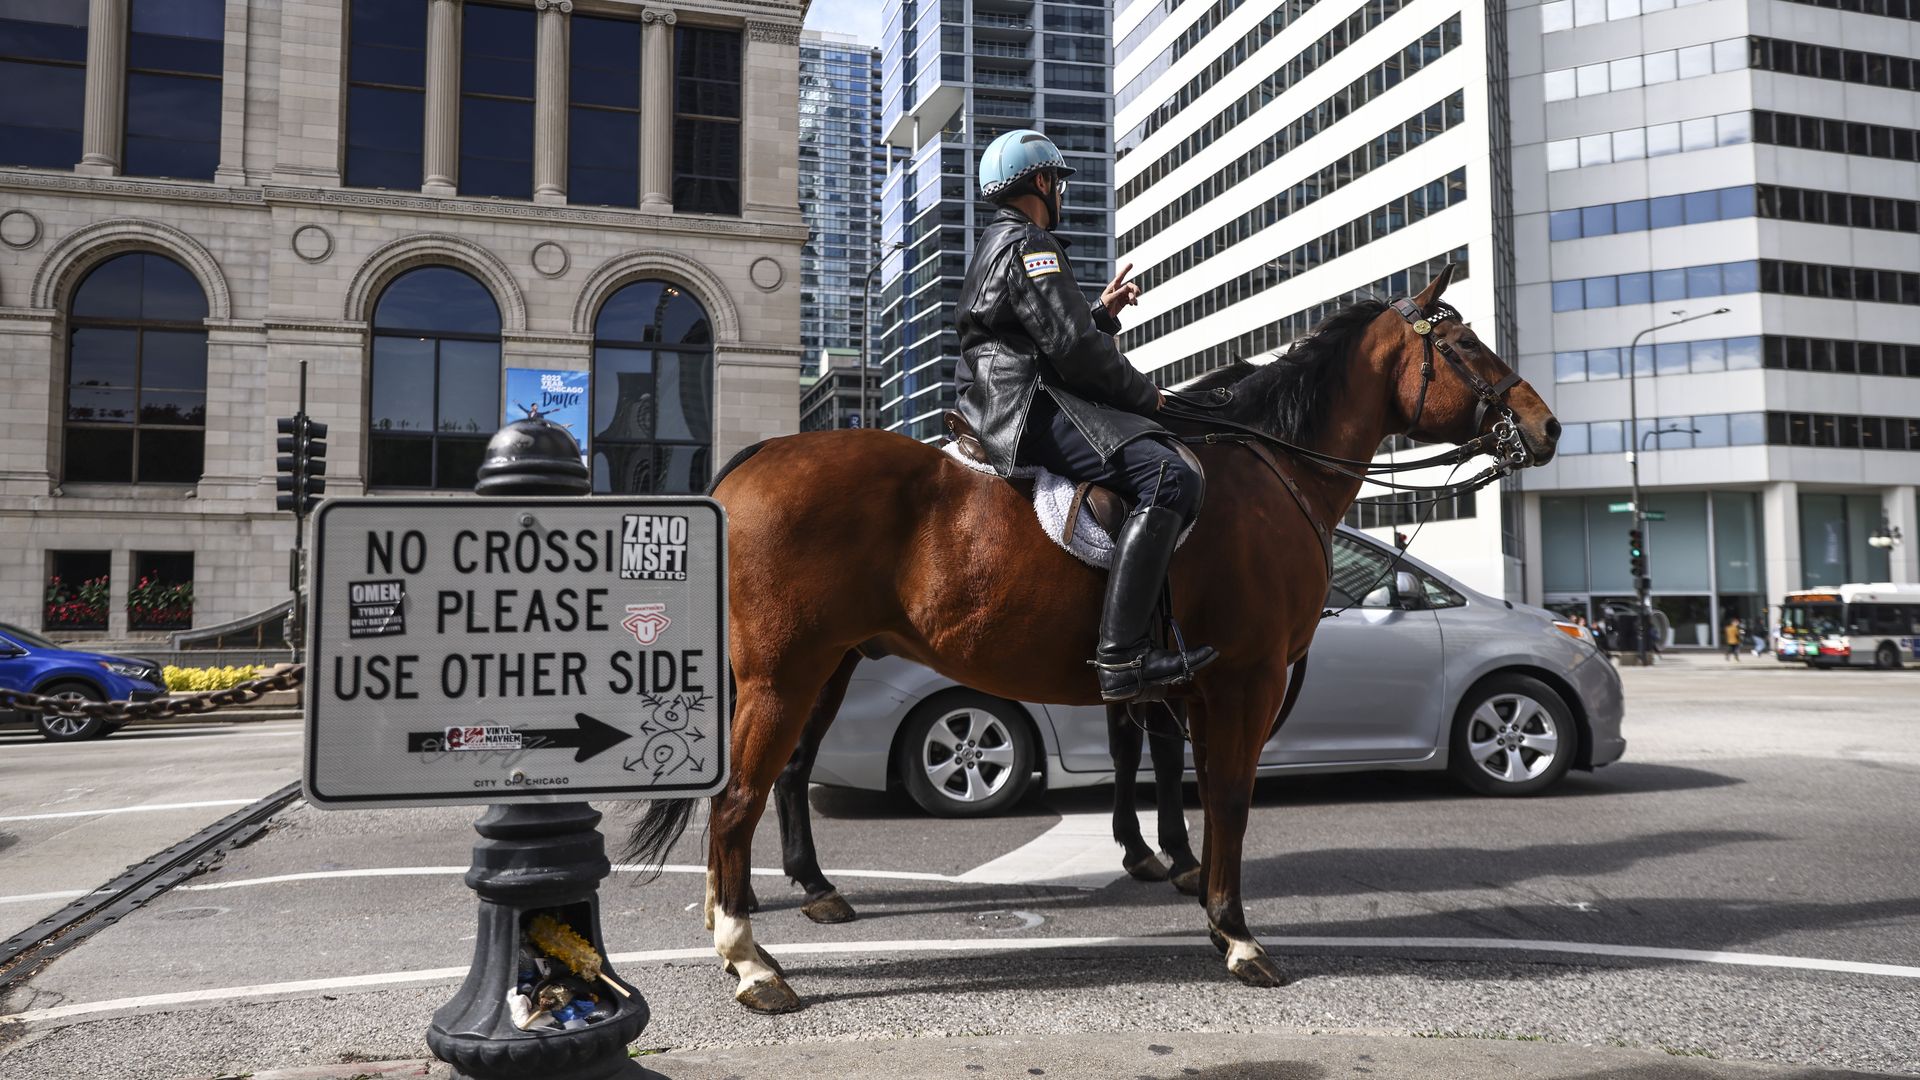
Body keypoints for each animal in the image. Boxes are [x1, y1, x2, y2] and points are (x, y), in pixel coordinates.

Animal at [622, 268, 1560, 1013]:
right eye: (1467, 346)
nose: (1546, 426)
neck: (1270, 470)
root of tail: (759, 456)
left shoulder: (1179, 687)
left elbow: (1169, 778)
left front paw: (1181, 878)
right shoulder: (1245, 681)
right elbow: (1228, 799)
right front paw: (1234, 932)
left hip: (825, 668)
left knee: (773, 783)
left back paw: (771, 913)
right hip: (786, 674)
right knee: (739, 799)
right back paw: (750, 959)